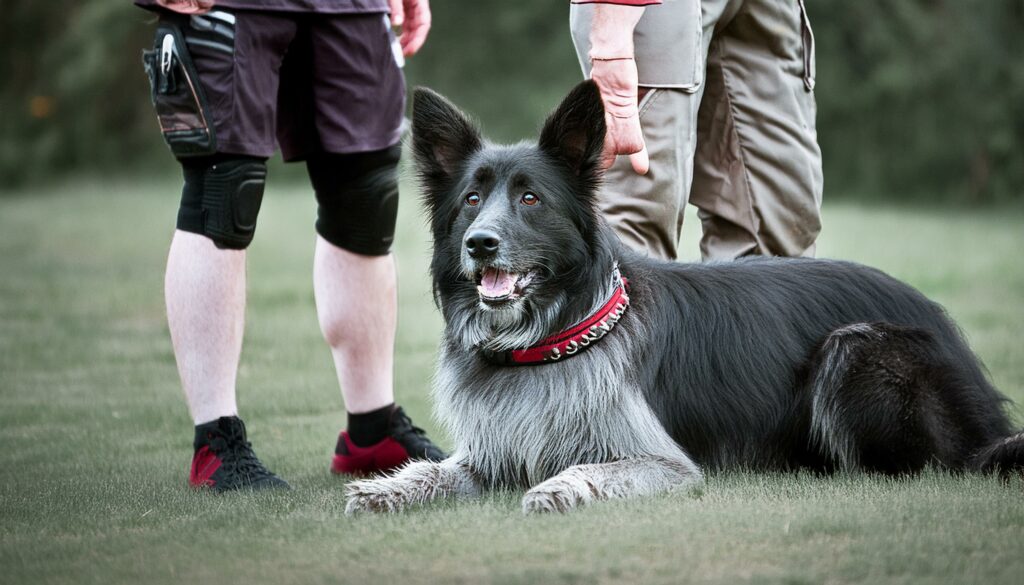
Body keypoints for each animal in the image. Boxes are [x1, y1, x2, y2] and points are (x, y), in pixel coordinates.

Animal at [346, 81, 1024, 512]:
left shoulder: (662, 464)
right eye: (470, 200)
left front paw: (560, 489)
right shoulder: (495, 453)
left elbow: (589, 471)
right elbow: (438, 470)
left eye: (530, 198)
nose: (480, 244)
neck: (550, 340)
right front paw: (387, 488)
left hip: (852, 348)